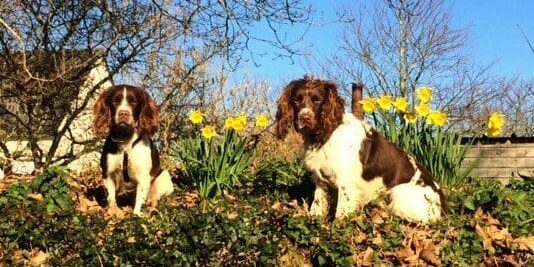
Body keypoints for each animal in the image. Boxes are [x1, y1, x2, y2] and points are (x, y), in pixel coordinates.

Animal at [93, 85, 175, 216]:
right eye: (115, 101)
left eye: (134, 102)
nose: (123, 113)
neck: (126, 139)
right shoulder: (108, 173)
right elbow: (112, 197)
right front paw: (114, 212)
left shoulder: (143, 176)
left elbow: (139, 199)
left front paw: (136, 215)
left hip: (164, 177)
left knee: (155, 197)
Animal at [276, 76, 448, 225]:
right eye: (296, 99)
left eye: (317, 99)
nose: (304, 118)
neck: (325, 135)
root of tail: (442, 207)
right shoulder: (321, 180)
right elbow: (317, 205)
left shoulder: (346, 182)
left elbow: (341, 212)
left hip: (398, 193)